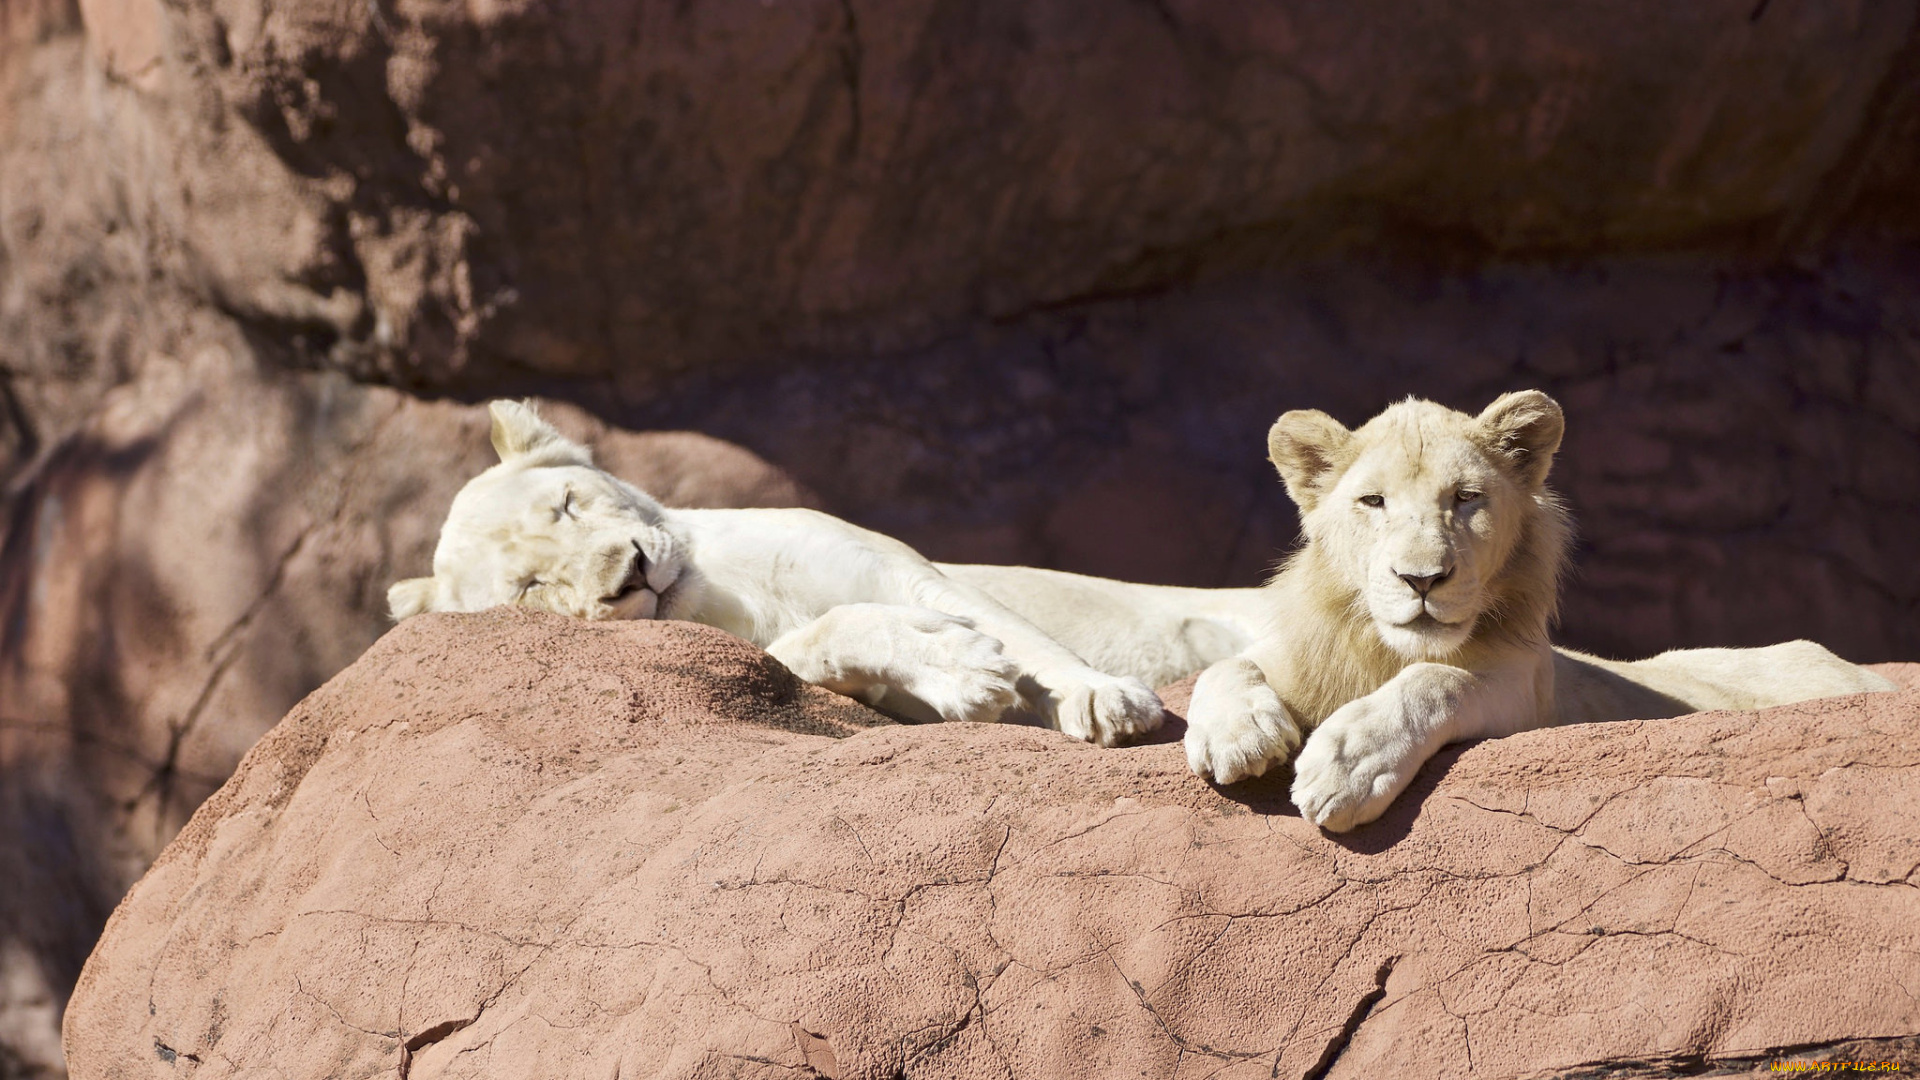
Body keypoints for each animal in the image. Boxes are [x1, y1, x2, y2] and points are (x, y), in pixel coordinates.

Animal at [382, 399, 1267, 745]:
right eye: (530, 589)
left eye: (567, 504)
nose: (630, 573)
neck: (730, 596)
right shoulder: (827, 672)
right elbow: (837, 635)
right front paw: (966, 671)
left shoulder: (911, 570)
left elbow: (1023, 637)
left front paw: (1104, 699)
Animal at [1175, 390, 1896, 826]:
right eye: (1373, 502)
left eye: (1465, 498)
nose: (1421, 579)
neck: (1384, 651)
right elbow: (1226, 666)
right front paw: (1238, 734)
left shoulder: (1528, 691)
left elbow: (1436, 679)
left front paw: (1345, 766)